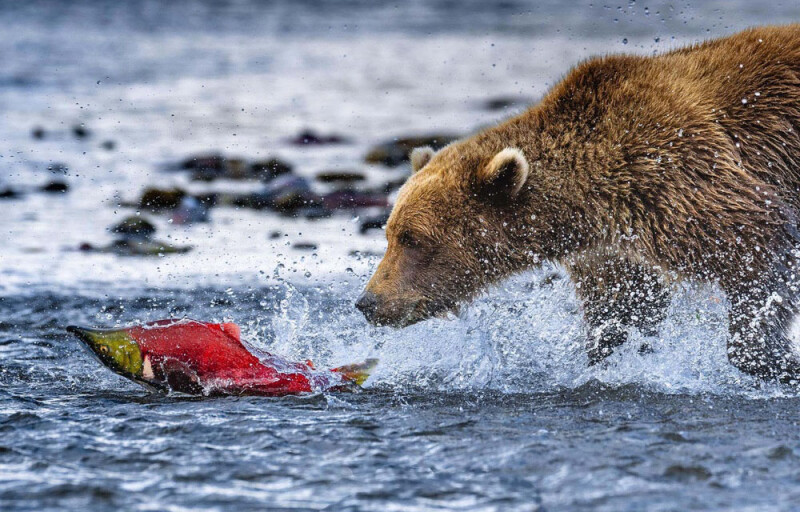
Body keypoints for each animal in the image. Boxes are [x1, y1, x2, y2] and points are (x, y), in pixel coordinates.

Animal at [356, 25, 800, 384]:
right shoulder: (612, 251)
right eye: (389, 234)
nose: (368, 302)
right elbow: (621, 310)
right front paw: (612, 356)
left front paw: (773, 357)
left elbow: (760, 247)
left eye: (412, 238)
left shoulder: (676, 175)